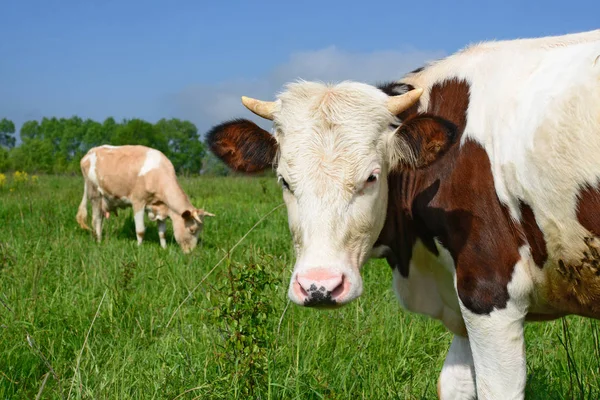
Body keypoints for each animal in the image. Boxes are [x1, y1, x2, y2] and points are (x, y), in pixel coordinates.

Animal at [76, 145, 214, 253]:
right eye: (192, 230)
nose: (191, 252)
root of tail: (89, 152)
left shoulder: (162, 207)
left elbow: (162, 232)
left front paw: (164, 248)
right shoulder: (138, 202)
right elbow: (140, 230)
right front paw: (138, 248)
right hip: (95, 194)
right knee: (96, 219)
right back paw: (99, 241)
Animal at [205, 29, 600, 398]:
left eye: (371, 177)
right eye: (285, 181)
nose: (320, 287)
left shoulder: (489, 288)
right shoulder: (461, 302)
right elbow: (454, 385)